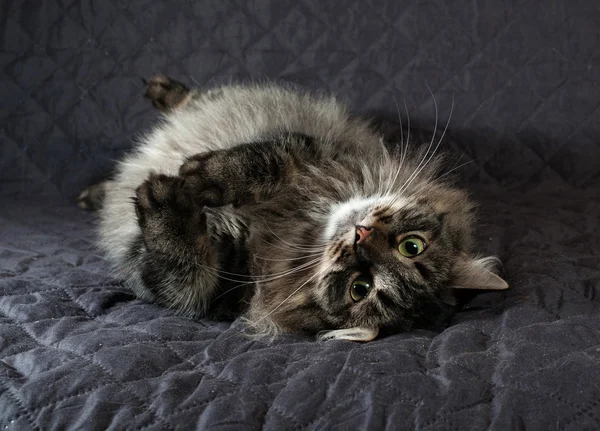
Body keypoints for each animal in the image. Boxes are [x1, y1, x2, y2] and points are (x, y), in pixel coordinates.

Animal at [79, 76, 508, 342]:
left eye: (360, 288)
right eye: (412, 246)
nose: (361, 236)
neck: (294, 223)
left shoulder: (216, 288)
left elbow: (183, 267)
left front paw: (166, 194)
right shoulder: (311, 154)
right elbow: (262, 163)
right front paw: (202, 176)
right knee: (192, 100)